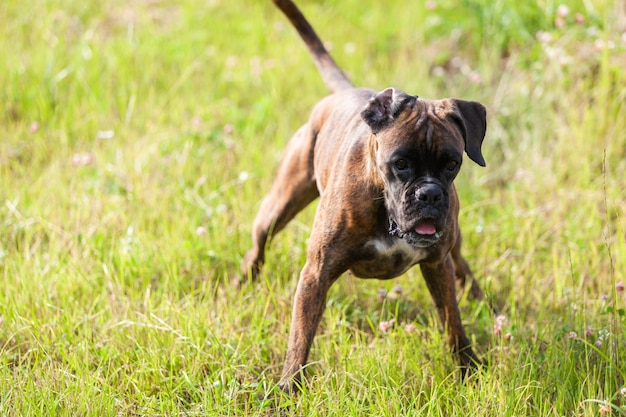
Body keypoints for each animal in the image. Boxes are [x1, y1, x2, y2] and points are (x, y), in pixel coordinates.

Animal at [243, 0, 488, 392]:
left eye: (452, 164)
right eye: (400, 164)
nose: (429, 194)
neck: (387, 212)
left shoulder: (438, 264)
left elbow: (453, 321)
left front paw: (467, 367)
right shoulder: (316, 273)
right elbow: (300, 338)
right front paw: (288, 388)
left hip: (455, 243)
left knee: (462, 264)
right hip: (279, 205)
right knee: (258, 246)